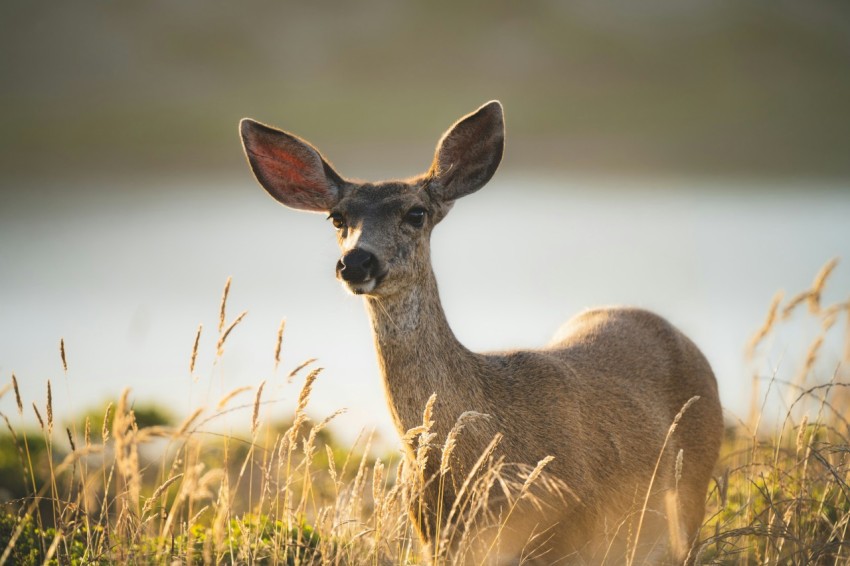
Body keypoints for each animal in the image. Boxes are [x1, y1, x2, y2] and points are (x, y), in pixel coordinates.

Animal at [238, 100, 724, 564]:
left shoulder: (569, 533)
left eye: (416, 213)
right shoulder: (435, 537)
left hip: (689, 500)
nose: (356, 261)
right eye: (338, 218)